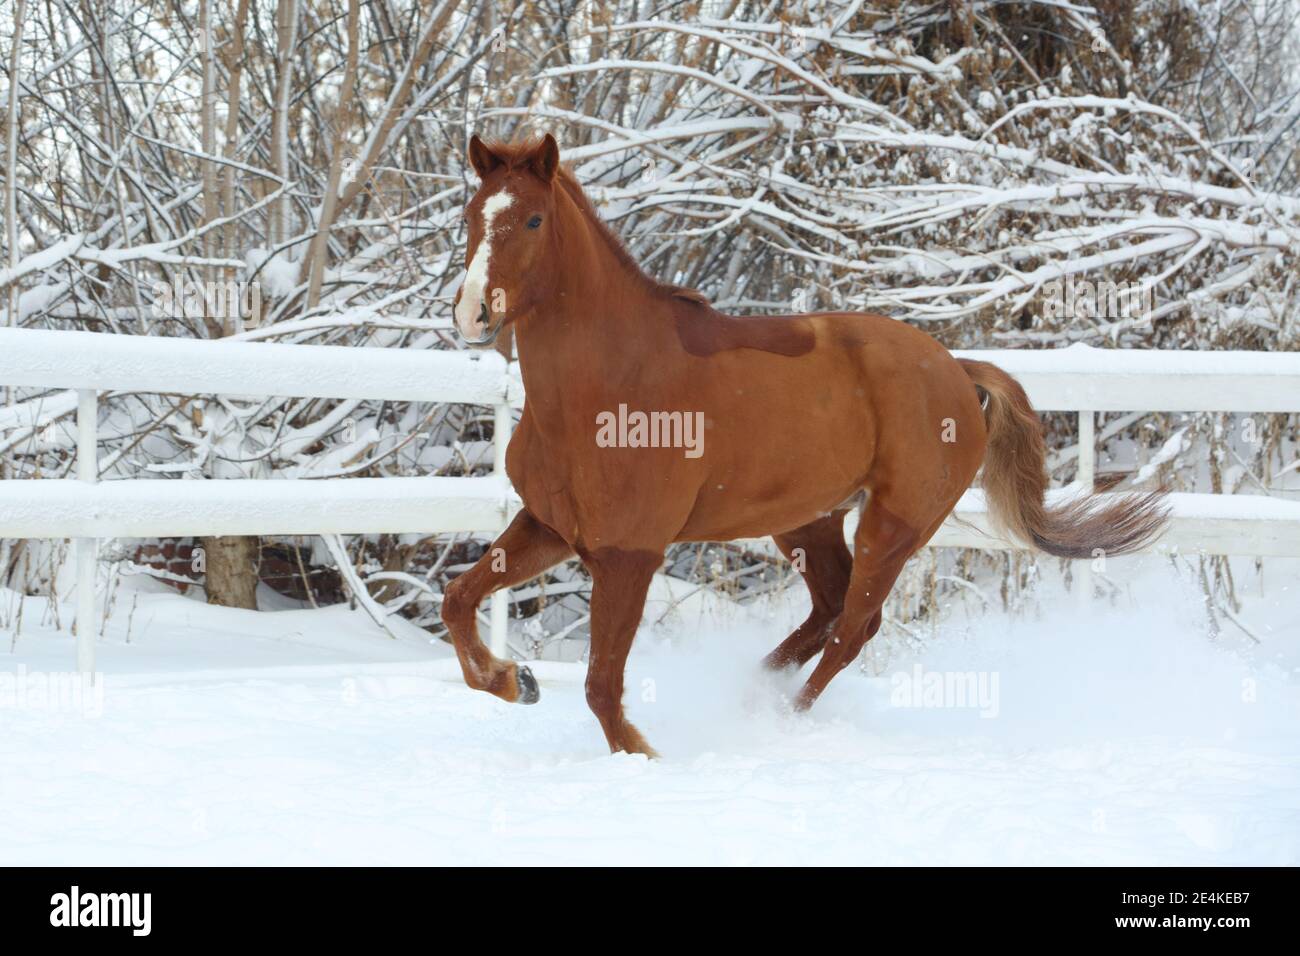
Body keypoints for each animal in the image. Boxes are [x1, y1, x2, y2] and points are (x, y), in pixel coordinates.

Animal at [439, 134, 1170, 759]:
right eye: (472, 213)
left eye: (533, 221)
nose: (474, 314)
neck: (602, 387)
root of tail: (959, 371)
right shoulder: (550, 527)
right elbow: (458, 599)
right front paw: (516, 681)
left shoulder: (630, 553)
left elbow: (599, 684)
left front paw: (639, 752)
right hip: (807, 522)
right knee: (828, 613)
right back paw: (749, 698)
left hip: (894, 525)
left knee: (852, 629)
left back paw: (780, 718)